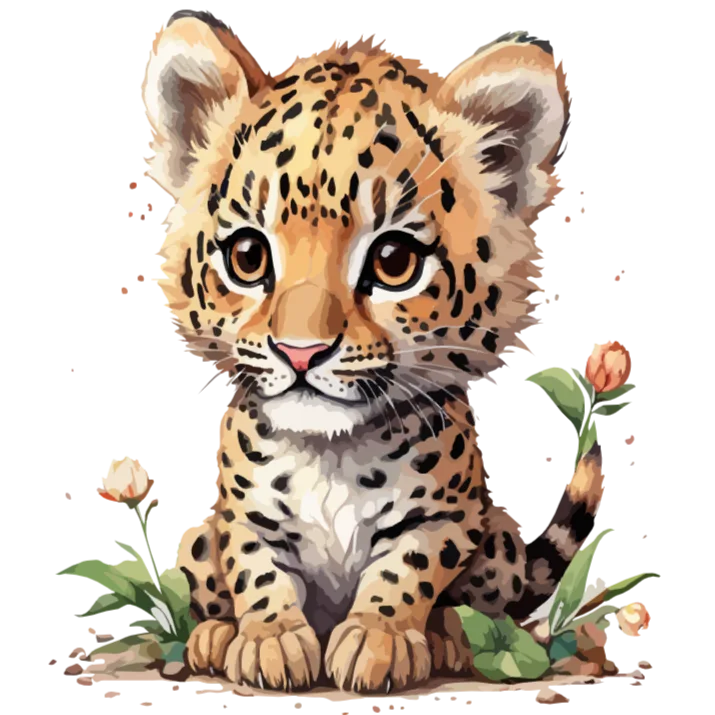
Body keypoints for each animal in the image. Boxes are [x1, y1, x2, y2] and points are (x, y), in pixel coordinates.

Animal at [142, 16, 605, 694]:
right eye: (247, 257)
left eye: (393, 261)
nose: (300, 352)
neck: (329, 453)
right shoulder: (238, 516)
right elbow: (256, 569)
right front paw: (270, 638)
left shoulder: (447, 518)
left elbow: (408, 568)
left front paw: (375, 637)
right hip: (195, 541)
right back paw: (212, 636)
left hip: (499, 544)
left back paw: (448, 639)